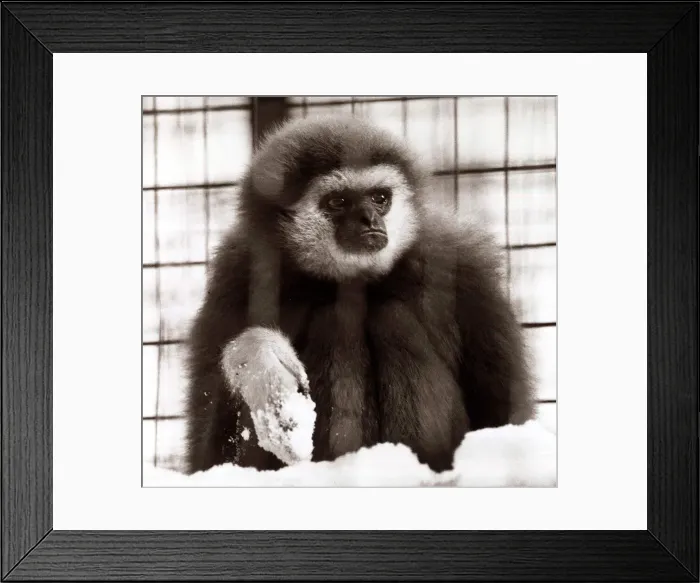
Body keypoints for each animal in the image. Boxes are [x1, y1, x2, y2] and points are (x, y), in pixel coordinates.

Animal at [183, 114, 536, 475]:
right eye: (338, 201)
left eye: (380, 198)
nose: (369, 218)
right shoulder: (236, 276)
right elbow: (209, 458)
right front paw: (264, 367)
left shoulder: (466, 267)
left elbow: (507, 416)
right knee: (337, 318)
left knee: (392, 318)